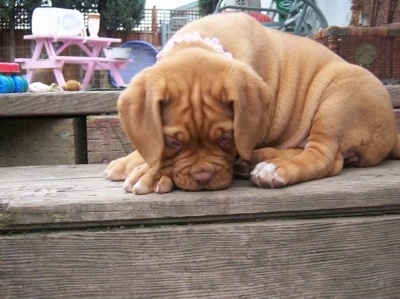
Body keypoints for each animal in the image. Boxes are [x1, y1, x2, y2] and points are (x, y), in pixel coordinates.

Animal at [104, 12, 400, 195]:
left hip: (337, 101)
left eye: (226, 138)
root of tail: (391, 131)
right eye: (173, 143)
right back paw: (255, 161)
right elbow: (148, 144)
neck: (204, 41)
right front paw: (130, 162)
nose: (202, 178)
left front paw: (151, 173)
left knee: (325, 158)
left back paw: (274, 169)